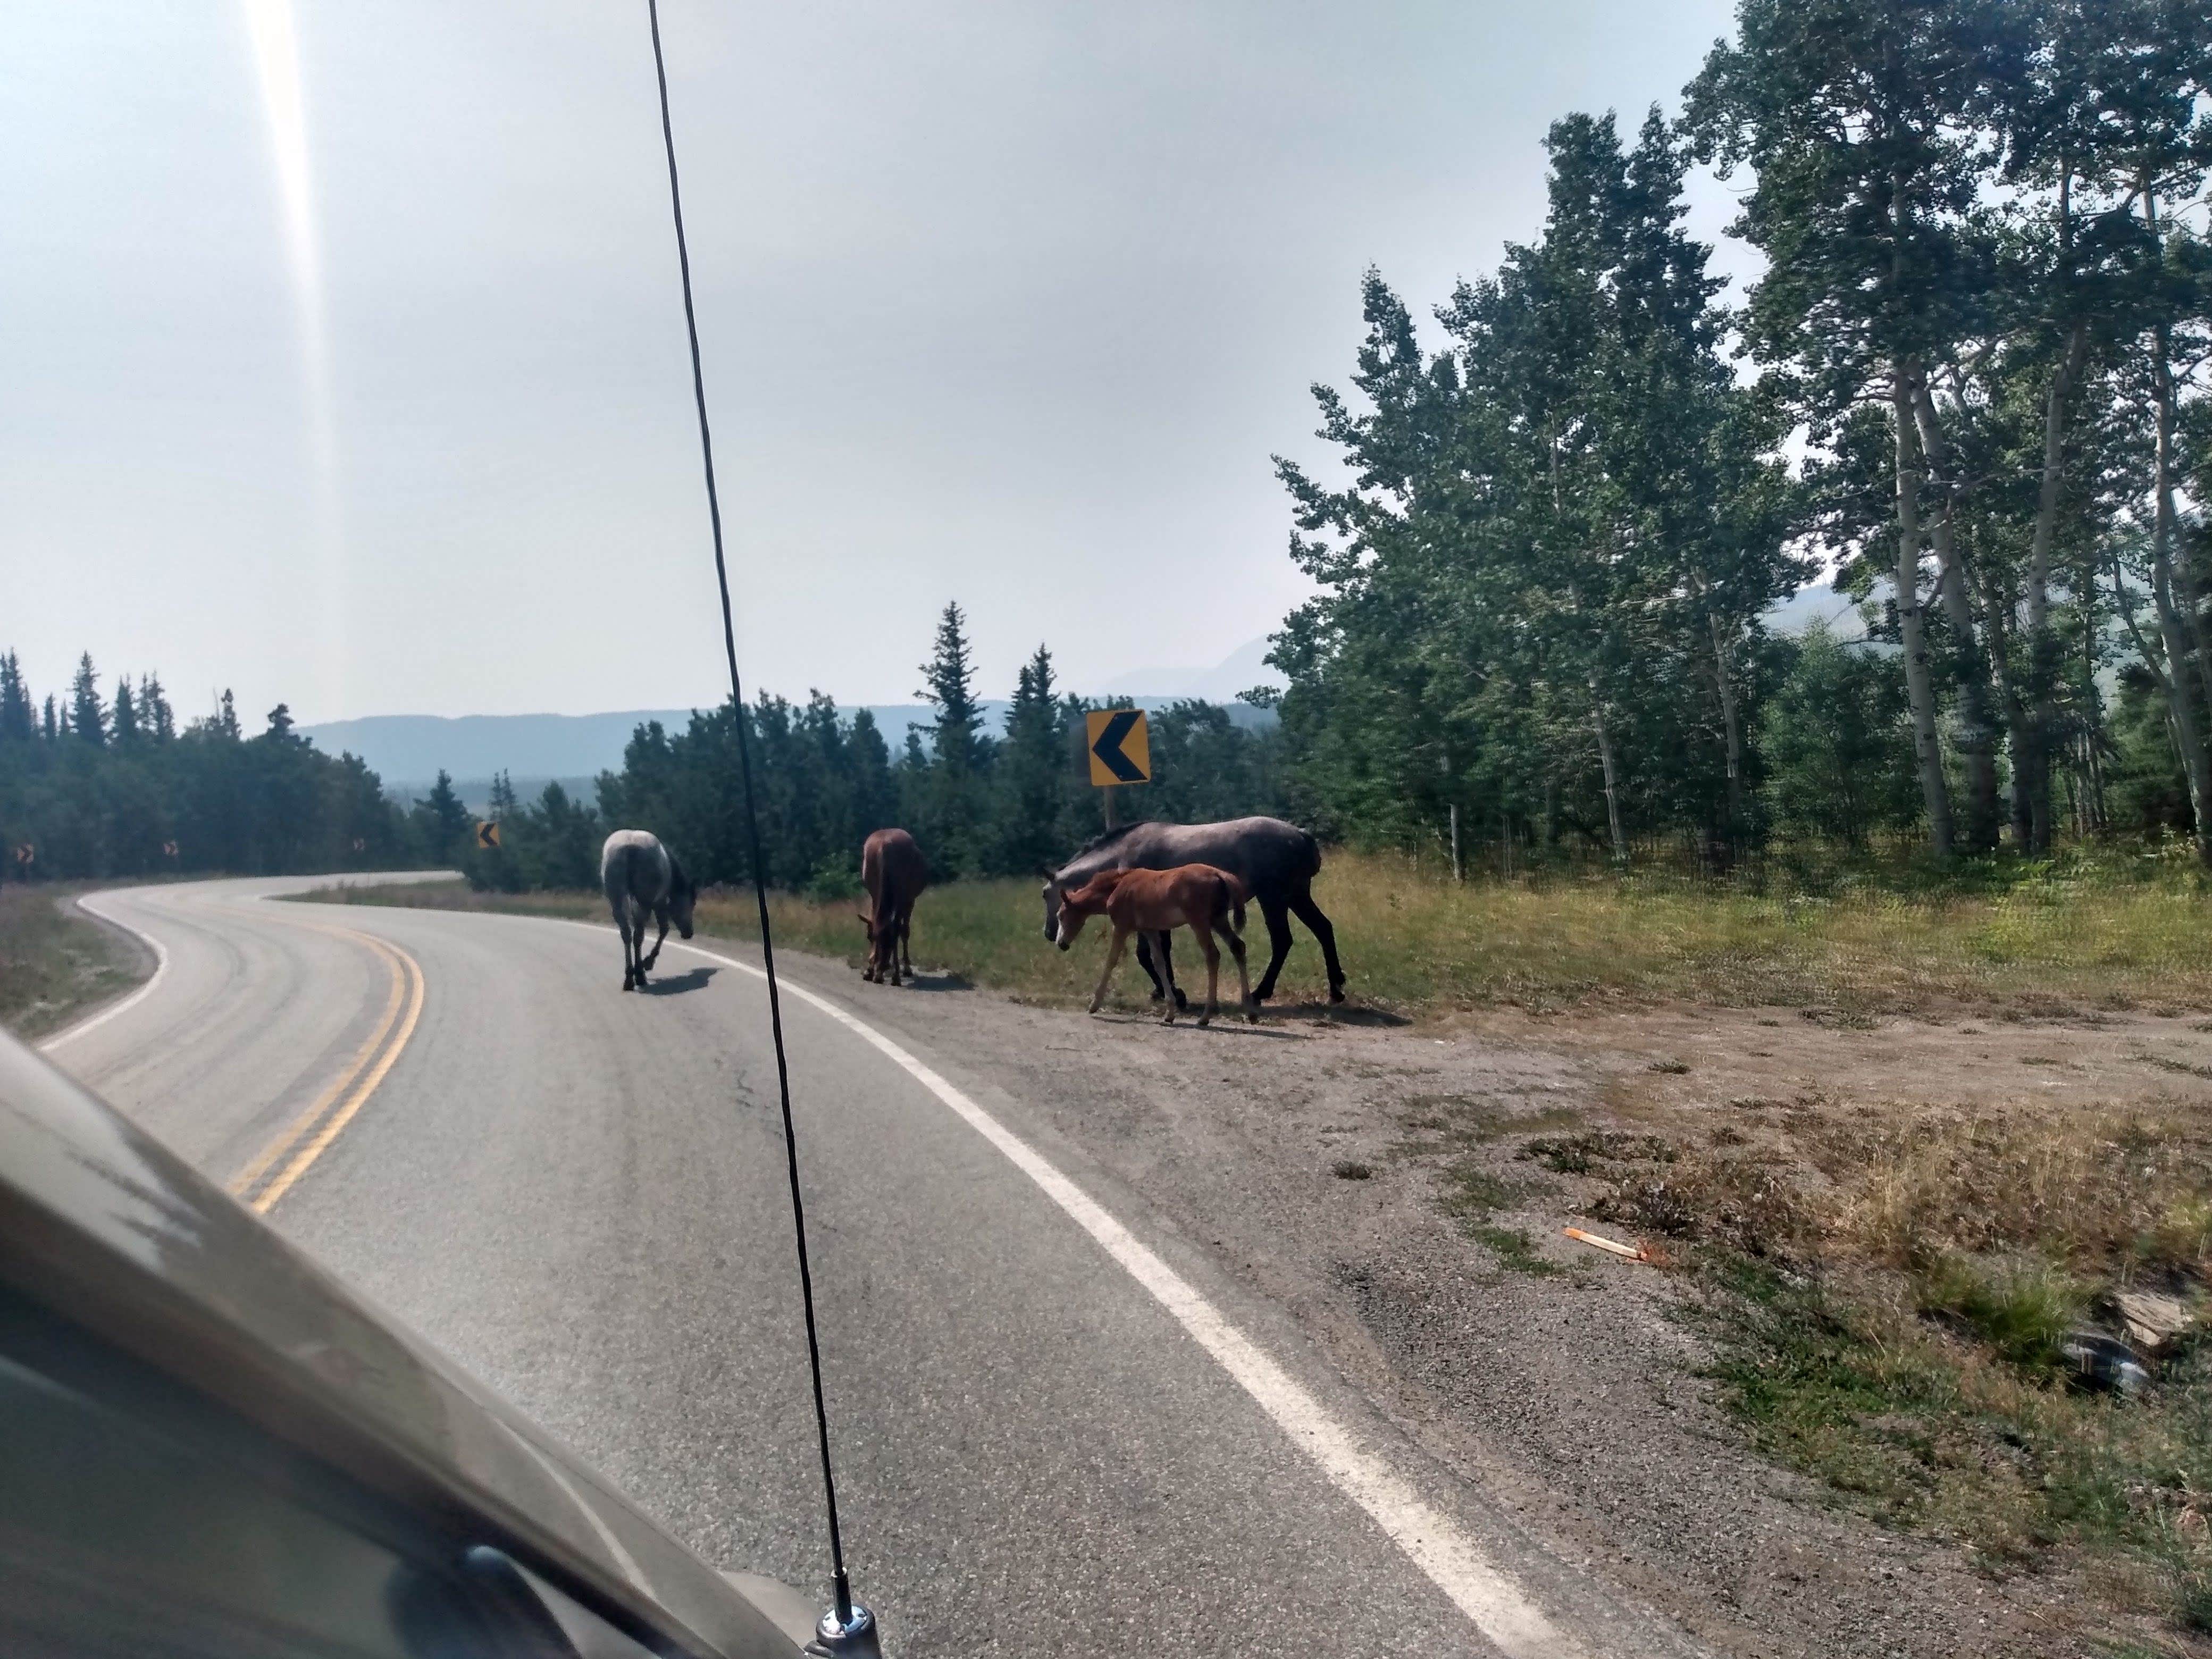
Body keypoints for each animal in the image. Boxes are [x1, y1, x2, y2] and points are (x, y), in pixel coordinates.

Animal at [601, 827, 694, 995]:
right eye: (691, 904)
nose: (689, 933)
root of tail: (630, 847)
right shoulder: (660, 903)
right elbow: (664, 930)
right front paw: (649, 962)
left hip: (617, 899)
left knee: (627, 934)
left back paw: (629, 978)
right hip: (644, 901)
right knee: (639, 936)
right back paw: (639, 975)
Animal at [1048, 872, 1256, 1026]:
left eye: (1061, 915)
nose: (1061, 944)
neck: (1118, 885)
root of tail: (1220, 875)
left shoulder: (1122, 927)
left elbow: (1112, 960)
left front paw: (1094, 1005)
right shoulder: (1150, 930)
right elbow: (1159, 962)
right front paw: (1170, 1013)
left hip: (1200, 922)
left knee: (1213, 955)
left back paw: (1206, 1016)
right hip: (1218, 920)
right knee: (1238, 947)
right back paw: (1250, 1011)